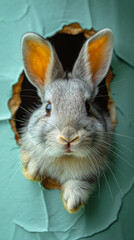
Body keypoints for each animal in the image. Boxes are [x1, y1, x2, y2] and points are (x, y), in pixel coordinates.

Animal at [20, 28, 113, 214]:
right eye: (48, 107)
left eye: (88, 107)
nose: (68, 137)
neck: (66, 158)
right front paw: (32, 168)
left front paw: (73, 202)